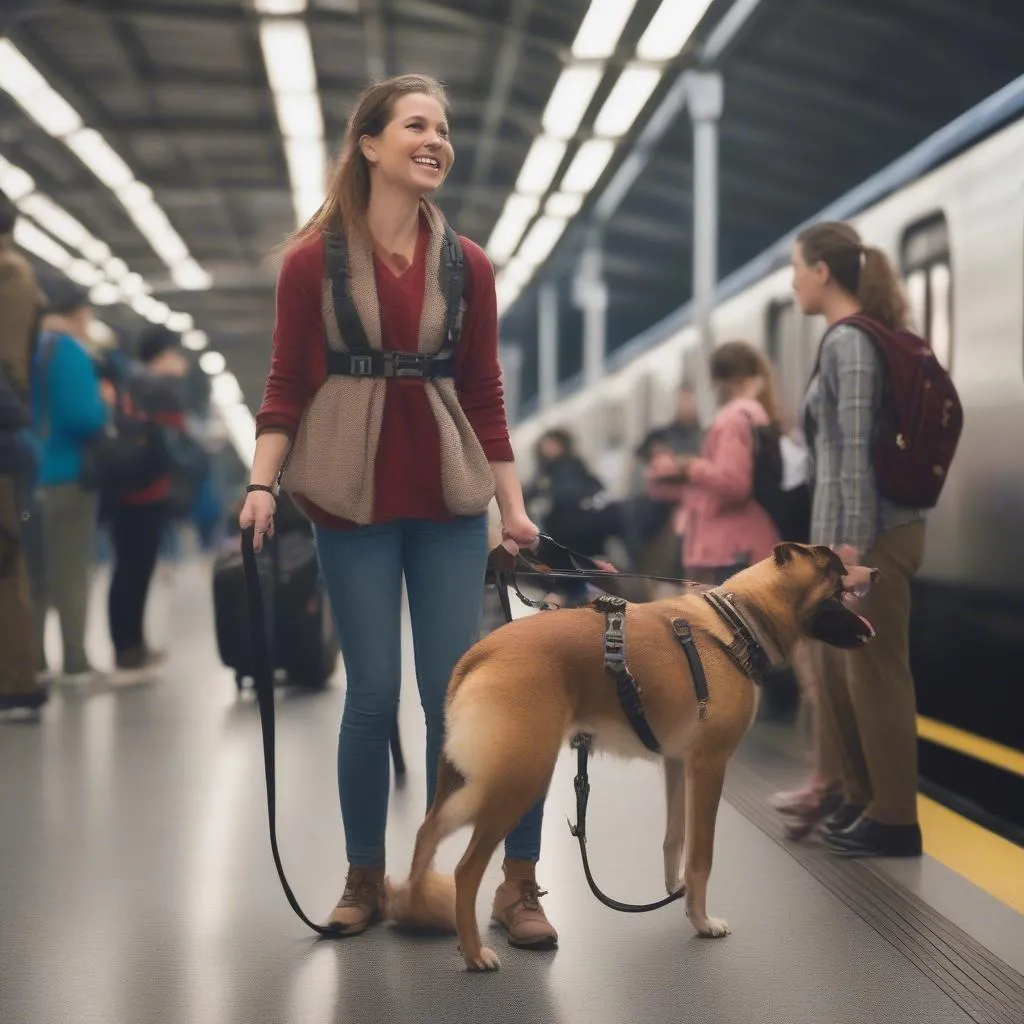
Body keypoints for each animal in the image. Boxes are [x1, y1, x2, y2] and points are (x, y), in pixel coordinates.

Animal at [387, 544, 876, 966]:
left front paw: (679, 894)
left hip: (469, 782)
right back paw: (474, 953)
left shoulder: (678, 765)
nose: (874, 571)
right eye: (837, 568)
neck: (739, 619)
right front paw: (702, 922)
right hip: (516, 782)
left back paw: (414, 908)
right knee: (466, 870)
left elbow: (675, 840)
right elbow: (702, 854)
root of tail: (478, 654)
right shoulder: (710, 765)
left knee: (425, 835)